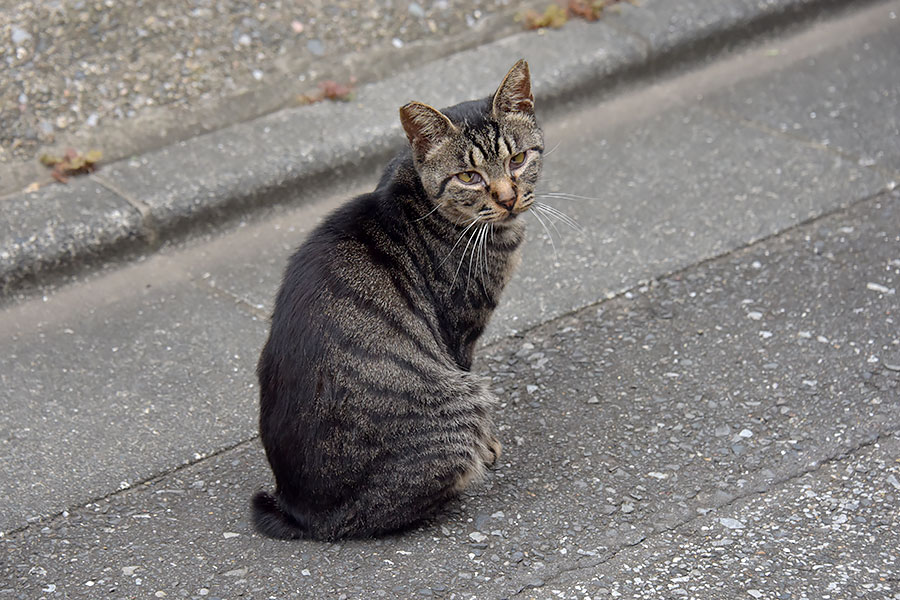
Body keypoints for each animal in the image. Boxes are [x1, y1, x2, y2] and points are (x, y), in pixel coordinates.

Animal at [256, 59, 544, 540]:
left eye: (518, 159)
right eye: (469, 177)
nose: (507, 198)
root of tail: (299, 510)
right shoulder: (460, 332)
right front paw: (490, 447)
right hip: (459, 403)